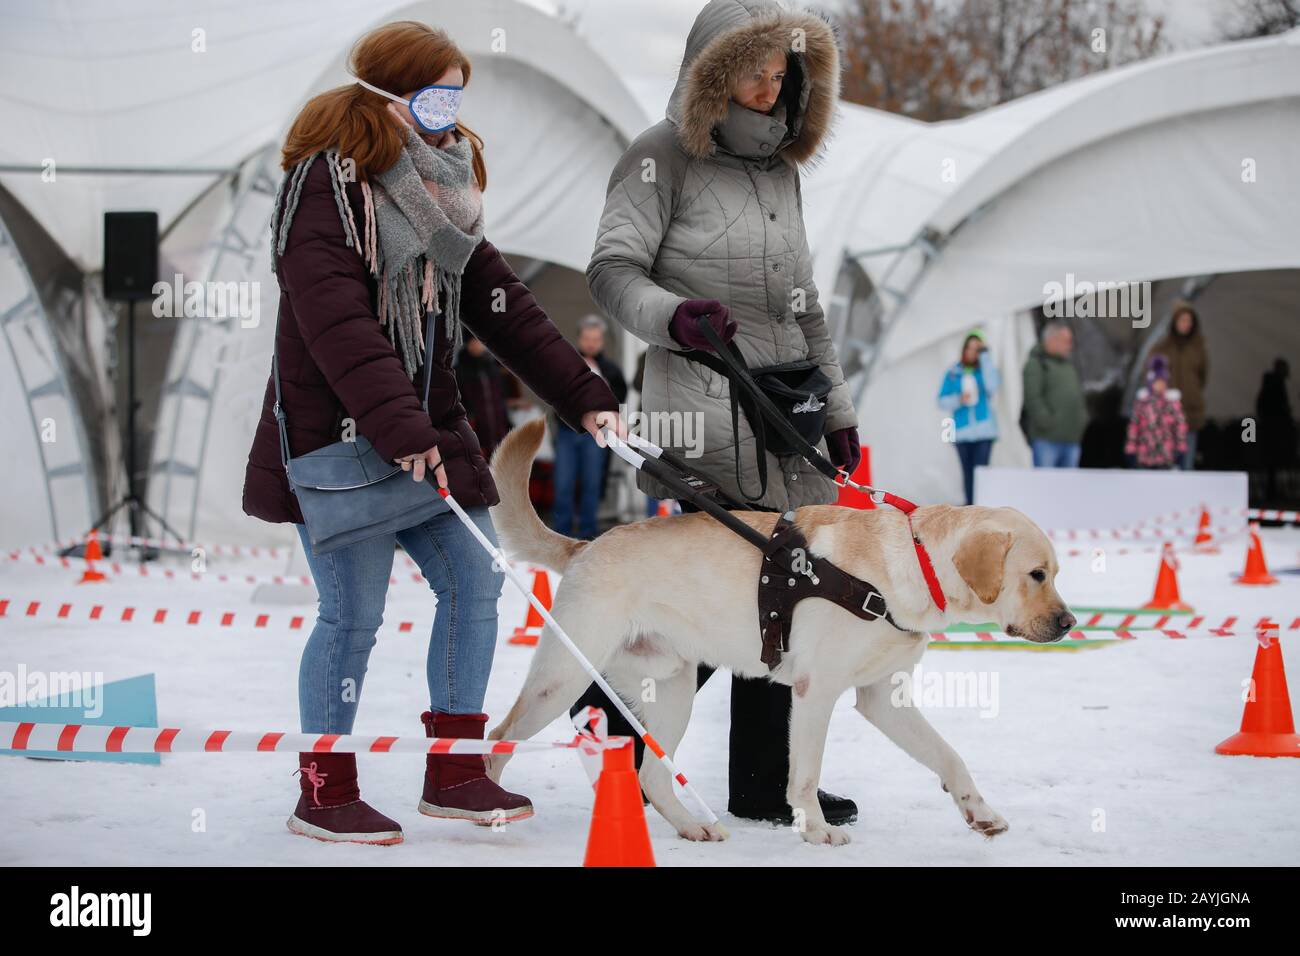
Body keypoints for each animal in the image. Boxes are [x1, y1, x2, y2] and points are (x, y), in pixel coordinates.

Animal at [483, 421, 1071, 848]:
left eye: (1055, 573)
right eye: (1036, 574)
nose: (1068, 623)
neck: (911, 566)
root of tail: (586, 545)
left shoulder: (884, 698)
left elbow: (950, 757)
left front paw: (980, 812)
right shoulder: (817, 692)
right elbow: (805, 774)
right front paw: (815, 829)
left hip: (672, 686)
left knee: (650, 772)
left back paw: (691, 826)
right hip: (559, 677)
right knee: (499, 738)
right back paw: (491, 807)